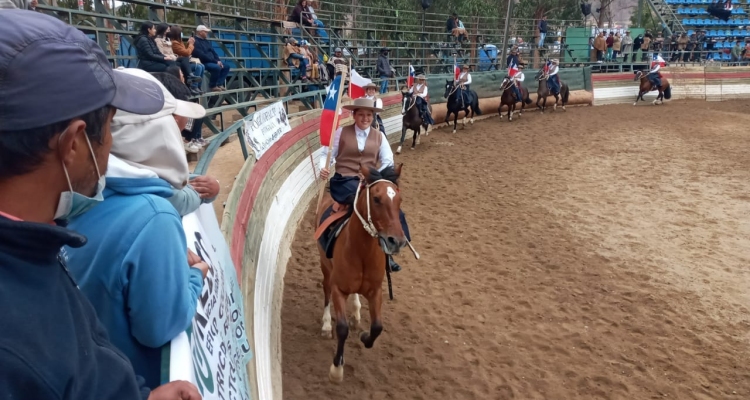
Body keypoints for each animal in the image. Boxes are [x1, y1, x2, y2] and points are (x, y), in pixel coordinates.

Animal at [318, 164, 412, 382]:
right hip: (325, 268)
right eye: (376, 199)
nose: (396, 241)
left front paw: (364, 336)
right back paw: (326, 325)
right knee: (326, 290)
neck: (361, 250)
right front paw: (336, 369)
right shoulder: (339, 289)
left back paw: (356, 312)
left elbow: (377, 327)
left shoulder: (375, 290)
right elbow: (341, 328)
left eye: (400, 199)